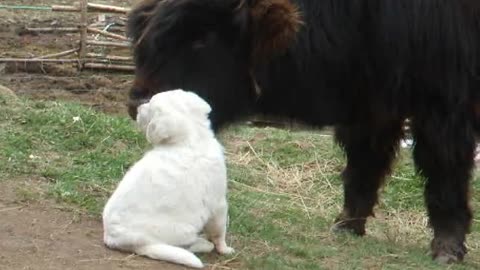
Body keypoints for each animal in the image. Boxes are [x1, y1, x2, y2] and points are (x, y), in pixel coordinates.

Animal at [103, 89, 234, 268]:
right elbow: (219, 231)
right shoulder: (219, 204)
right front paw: (225, 249)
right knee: (187, 245)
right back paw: (204, 244)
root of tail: (112, 238)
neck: (190, 140)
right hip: (183, 229)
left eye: (150, 106)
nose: (138, 108)